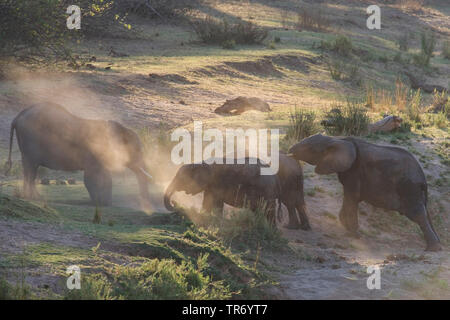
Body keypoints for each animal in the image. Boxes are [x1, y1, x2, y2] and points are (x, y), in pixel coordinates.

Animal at [4, 103, 153, 208]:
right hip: (30, 141)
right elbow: (93, 177)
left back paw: (31, 197)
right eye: (136, 150)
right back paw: (34, 198)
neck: (119, 128)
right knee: (31, 169)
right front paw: (103, 203)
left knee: (29, 170)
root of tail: (18, 116)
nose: (145, 205)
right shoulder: (95, 154)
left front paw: (104, 203)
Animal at [288, 134, 440, 251]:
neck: (336, 139)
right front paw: (347, 227)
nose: (290, 151)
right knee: (423, 212)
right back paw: (436, 246)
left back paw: (432, 249)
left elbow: (352, 196)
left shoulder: (355, 169)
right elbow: (350, 197)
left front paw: (353, 234)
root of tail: (423, 177)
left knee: (417, 214)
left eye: (310, 149)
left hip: (409, 187)